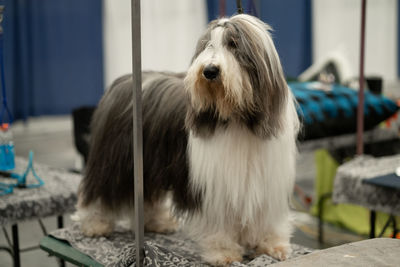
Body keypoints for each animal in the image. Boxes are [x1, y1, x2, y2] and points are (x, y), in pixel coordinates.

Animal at [75, 14, 300, 266]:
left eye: (233, 44)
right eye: (207, 45)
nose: (210, 70)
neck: (237, 120)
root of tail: (122, 81)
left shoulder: (267, 181)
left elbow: (268, 219)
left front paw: (273, 247)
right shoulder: (214, 189)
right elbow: (219, 224)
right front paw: (223, 254)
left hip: (147, 164)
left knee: (146, 196)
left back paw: (156, 222)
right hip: (115, 160)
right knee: (99, 190)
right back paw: (95, 224)